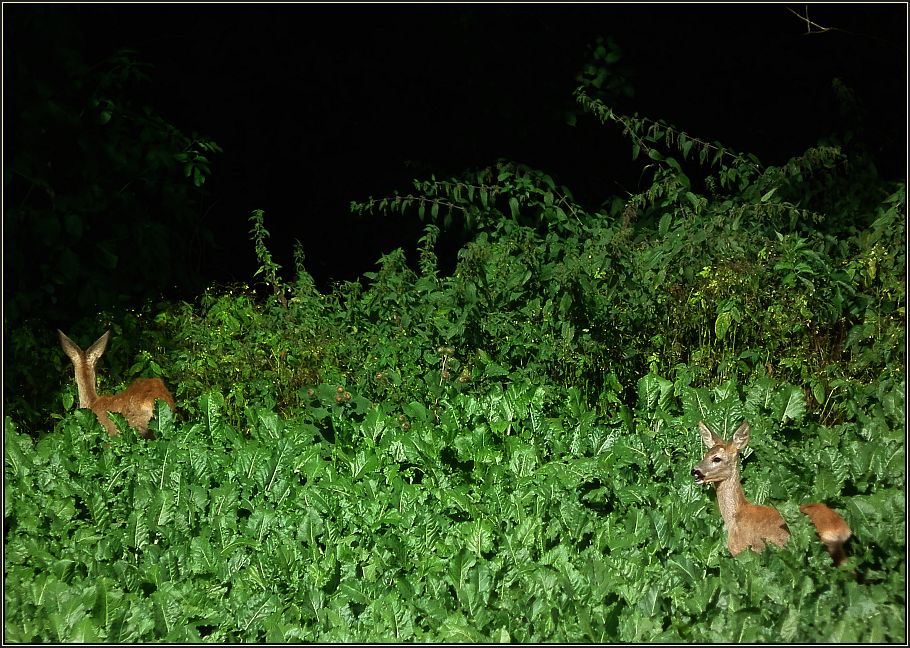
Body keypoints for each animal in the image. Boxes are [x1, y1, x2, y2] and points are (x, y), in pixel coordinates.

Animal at [692, 422, 856, 564]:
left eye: (717, 459)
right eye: (705, 455)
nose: (695, 471)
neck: (735, 515)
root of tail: (841, 529)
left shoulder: (742, 552)